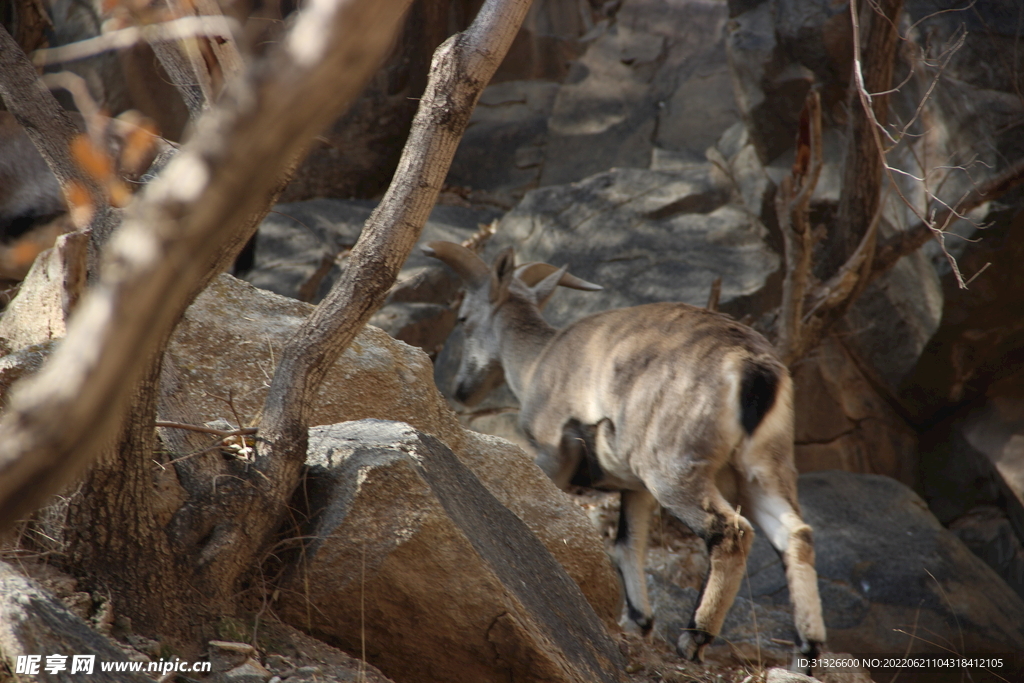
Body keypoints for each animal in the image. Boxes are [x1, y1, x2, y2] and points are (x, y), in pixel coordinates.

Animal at [425, 240, 831, 663]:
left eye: (463, 318)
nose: (462, 389)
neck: (539, 360)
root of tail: (753, 368)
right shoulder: (634, 486)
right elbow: (627, 544)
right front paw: (639, 621)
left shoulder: (555, 453)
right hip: (763, 469)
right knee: (796, 535)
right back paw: (807, 651)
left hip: (674, 469)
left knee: (731, 532)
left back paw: (695, 638)